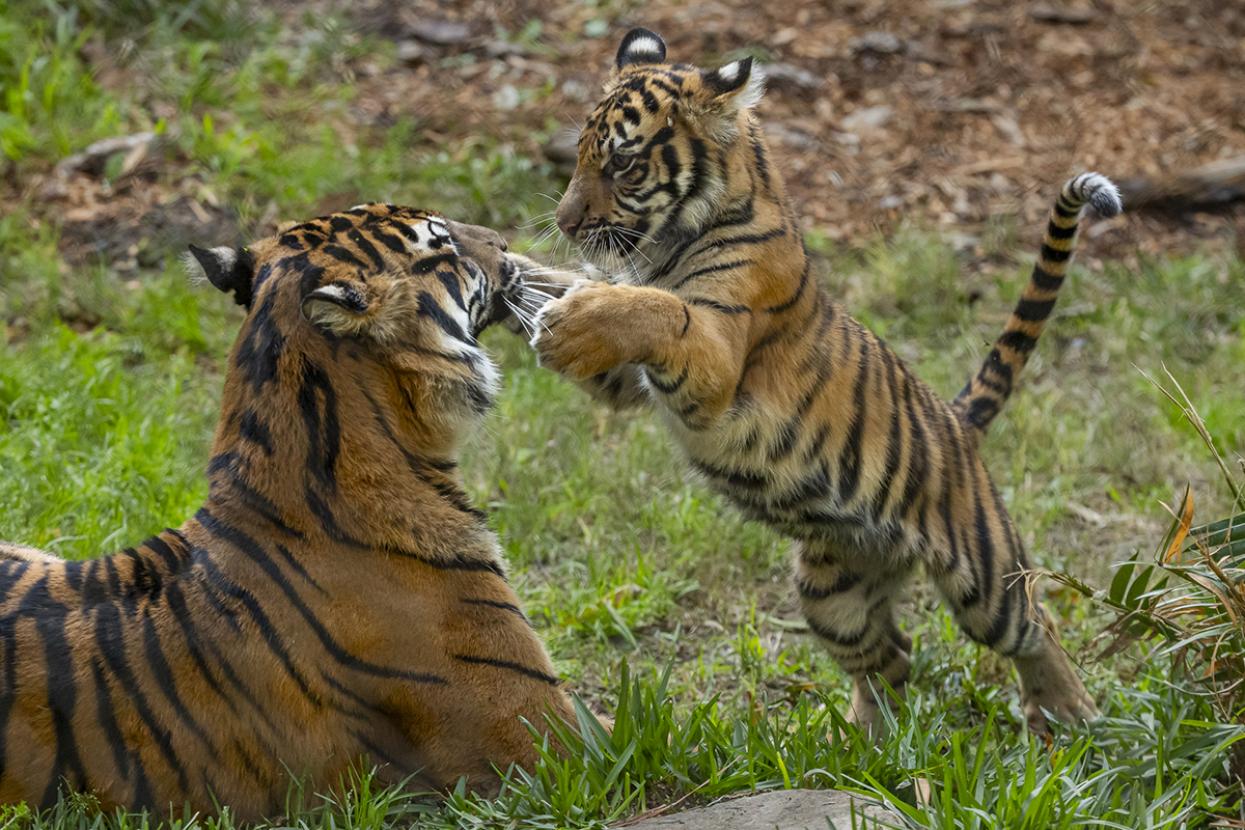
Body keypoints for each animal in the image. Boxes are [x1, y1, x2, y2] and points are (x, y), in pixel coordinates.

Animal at [524, 27, 1120, 734]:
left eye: (622, 163)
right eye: (581, 154)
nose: (563, 223)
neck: (670, 240)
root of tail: (957, 419)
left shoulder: (713, 361)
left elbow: (658, 308)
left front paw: (566, 318)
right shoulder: (632, 379)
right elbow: (580, 296)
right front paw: (502, 274)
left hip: (983, 576)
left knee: (1034, 623)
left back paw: (1069, 709)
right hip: (830, 591)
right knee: (892, 655)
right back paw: (870, 738)